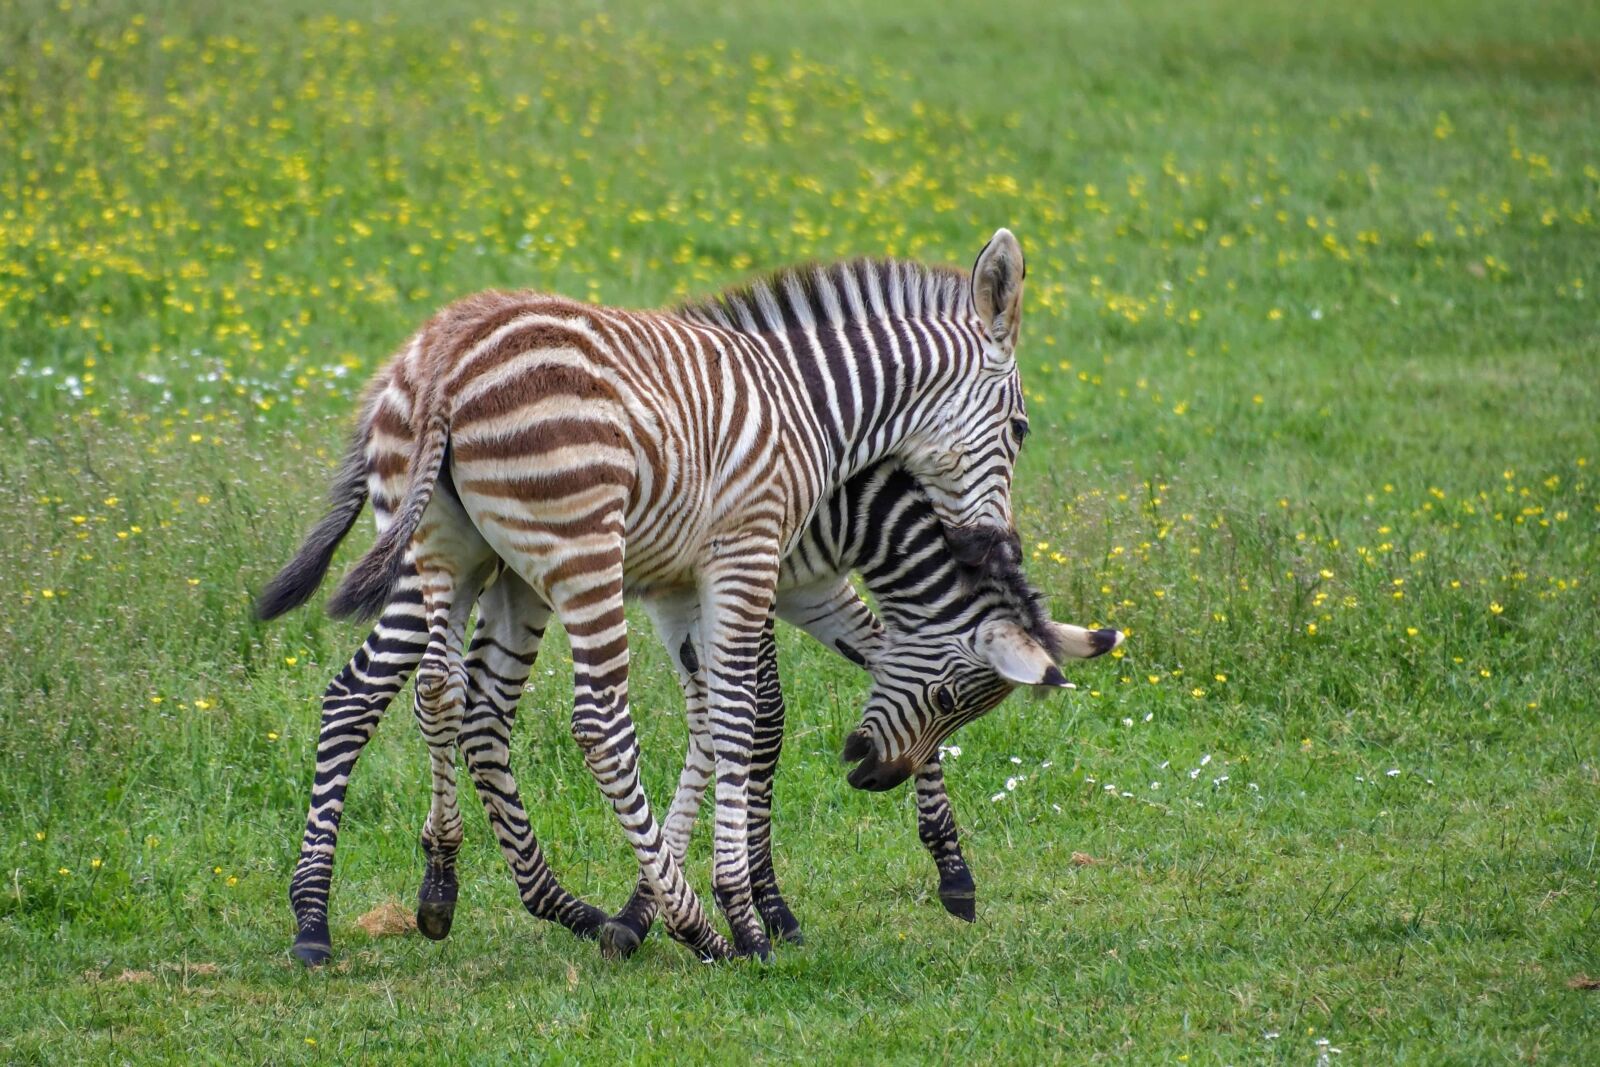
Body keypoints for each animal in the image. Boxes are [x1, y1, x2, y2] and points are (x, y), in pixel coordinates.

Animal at [272, 460, 1119, 966]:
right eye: (947, 699)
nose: (871, 777)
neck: (845, 503)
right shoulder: (740, 584)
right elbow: (756, 720)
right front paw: (744, 906)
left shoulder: (806, 588)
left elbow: (764, 707)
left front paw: (951, 867)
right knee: (360, 692)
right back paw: (313, 918)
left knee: (453, 700)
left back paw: (447, 881)